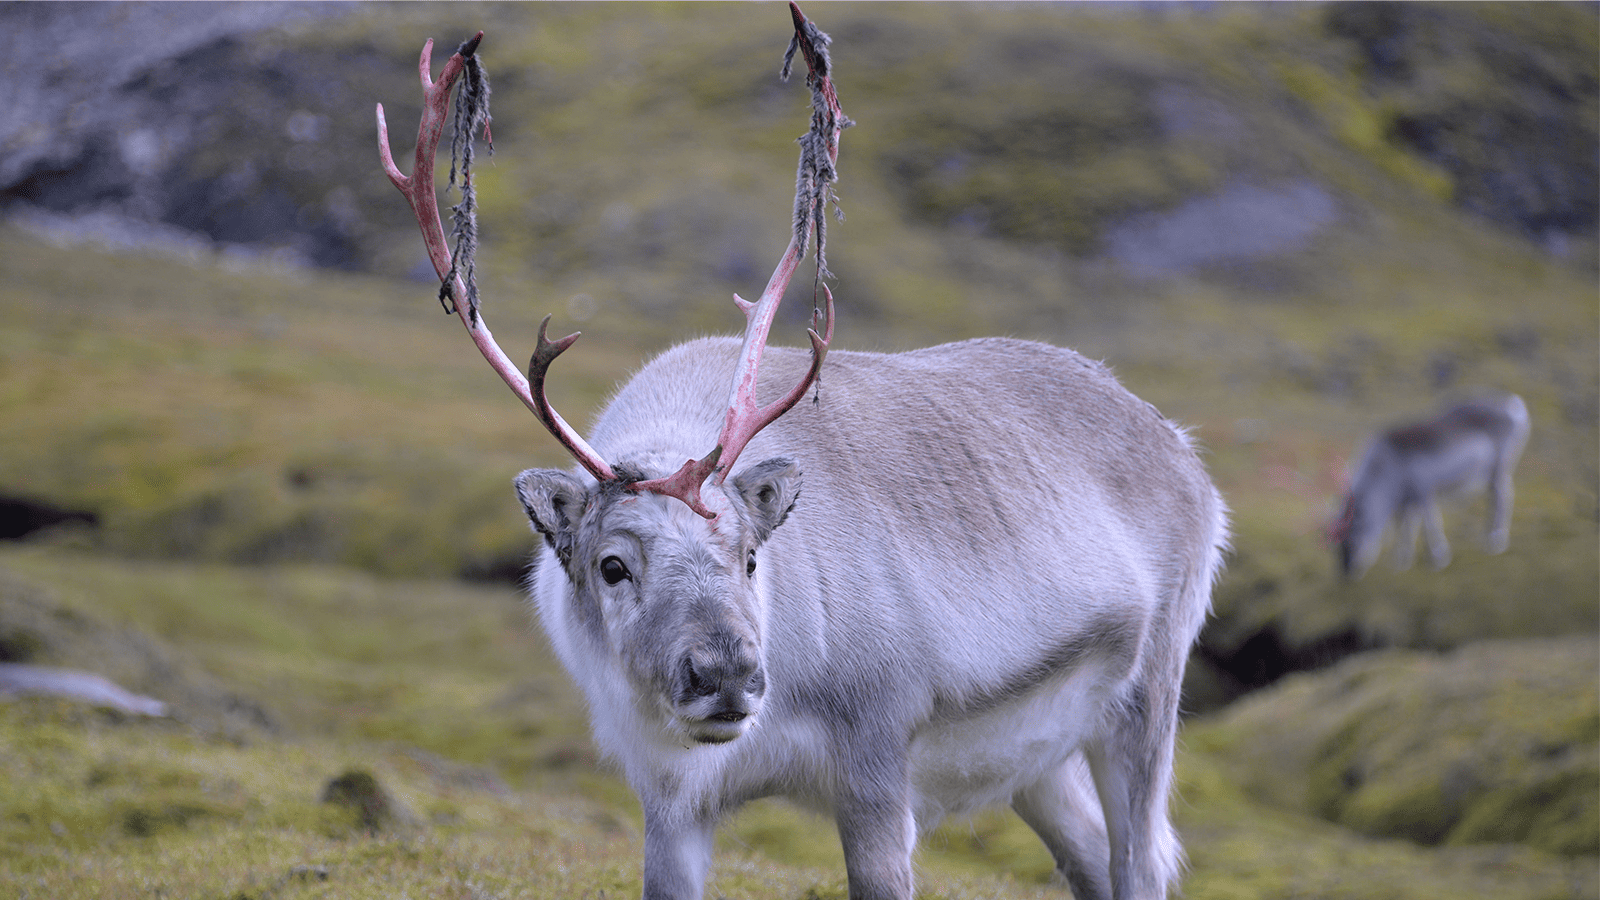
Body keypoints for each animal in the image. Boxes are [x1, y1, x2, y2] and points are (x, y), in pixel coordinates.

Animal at [376, 8, 1227, 900]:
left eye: (752, 556)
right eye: (613, 565)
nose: (725, 675)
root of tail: (1181, 450)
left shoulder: (878, 762)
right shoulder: (670, 798)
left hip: (1144, 697)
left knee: (1141, 859)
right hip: (1034, 759)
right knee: (1091, 855)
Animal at [1332, 393, 1530, 579]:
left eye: (1351, 539)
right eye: (1335, 548)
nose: (1345, 575)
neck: (1386, 468)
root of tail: (1514, 404)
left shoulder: (1424, 493)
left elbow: (1429, 526)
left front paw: (1437, 559)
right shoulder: (1405, 502)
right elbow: (1405, 529)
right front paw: (1401, 562)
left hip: (1500, 468)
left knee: (1503, 497)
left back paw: (1496, 541)